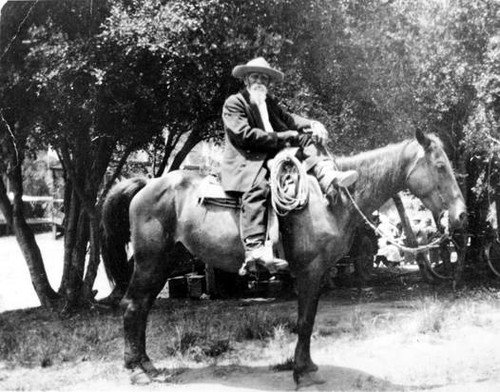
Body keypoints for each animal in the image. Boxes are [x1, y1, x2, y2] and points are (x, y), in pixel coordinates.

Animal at [100, 130, 464, 388]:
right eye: (440, 166)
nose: (461, 215)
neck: (330, 198)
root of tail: (147, 184)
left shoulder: (319, 273)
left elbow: (310, 319)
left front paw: (307, 366)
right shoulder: (309, 271)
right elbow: (304, 321)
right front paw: (302, 373)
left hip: (164, 262)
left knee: (143, 307)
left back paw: (147, 364)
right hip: (149, 261)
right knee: (133, 306)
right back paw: (136, 371)